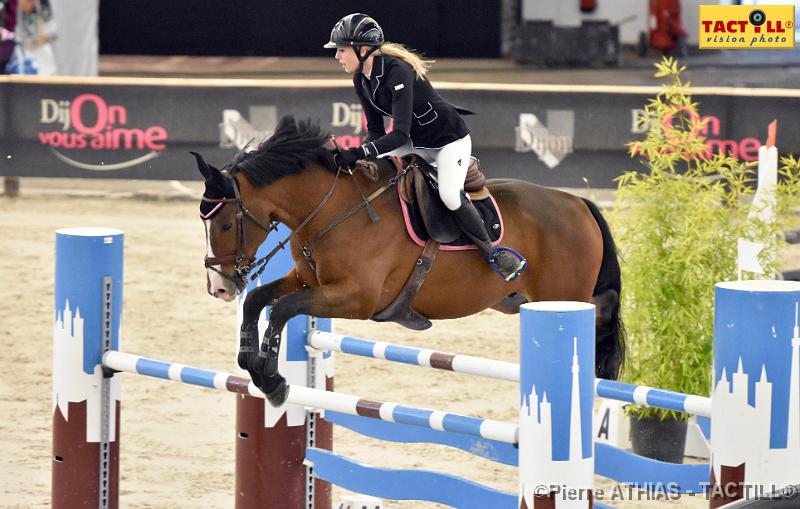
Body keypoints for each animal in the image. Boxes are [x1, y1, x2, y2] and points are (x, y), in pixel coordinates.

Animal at [197, 115, 628, 404]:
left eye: (223, 223)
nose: (219, 286)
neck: (333, 209)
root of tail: (579, 203)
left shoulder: (356, 298)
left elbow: (284, 309)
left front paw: (272, 378)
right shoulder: (310, 282)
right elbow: (258, 300)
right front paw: (253, 365)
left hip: (562, 295)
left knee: (599, 312)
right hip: (518, 300)